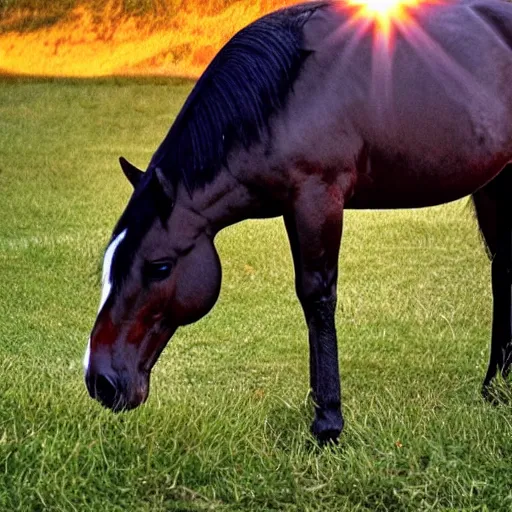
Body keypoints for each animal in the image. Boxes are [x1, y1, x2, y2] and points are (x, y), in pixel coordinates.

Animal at [83, 0, 512, 444]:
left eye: (160, 267)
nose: (101, 382)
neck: (284, 96)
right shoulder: (296, 207)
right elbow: (307, 298)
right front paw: (317, 405)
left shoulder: (318, 198)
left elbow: (318, 296)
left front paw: (328, 422)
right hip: (495, 182)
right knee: (503, 269)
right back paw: (494, 388)